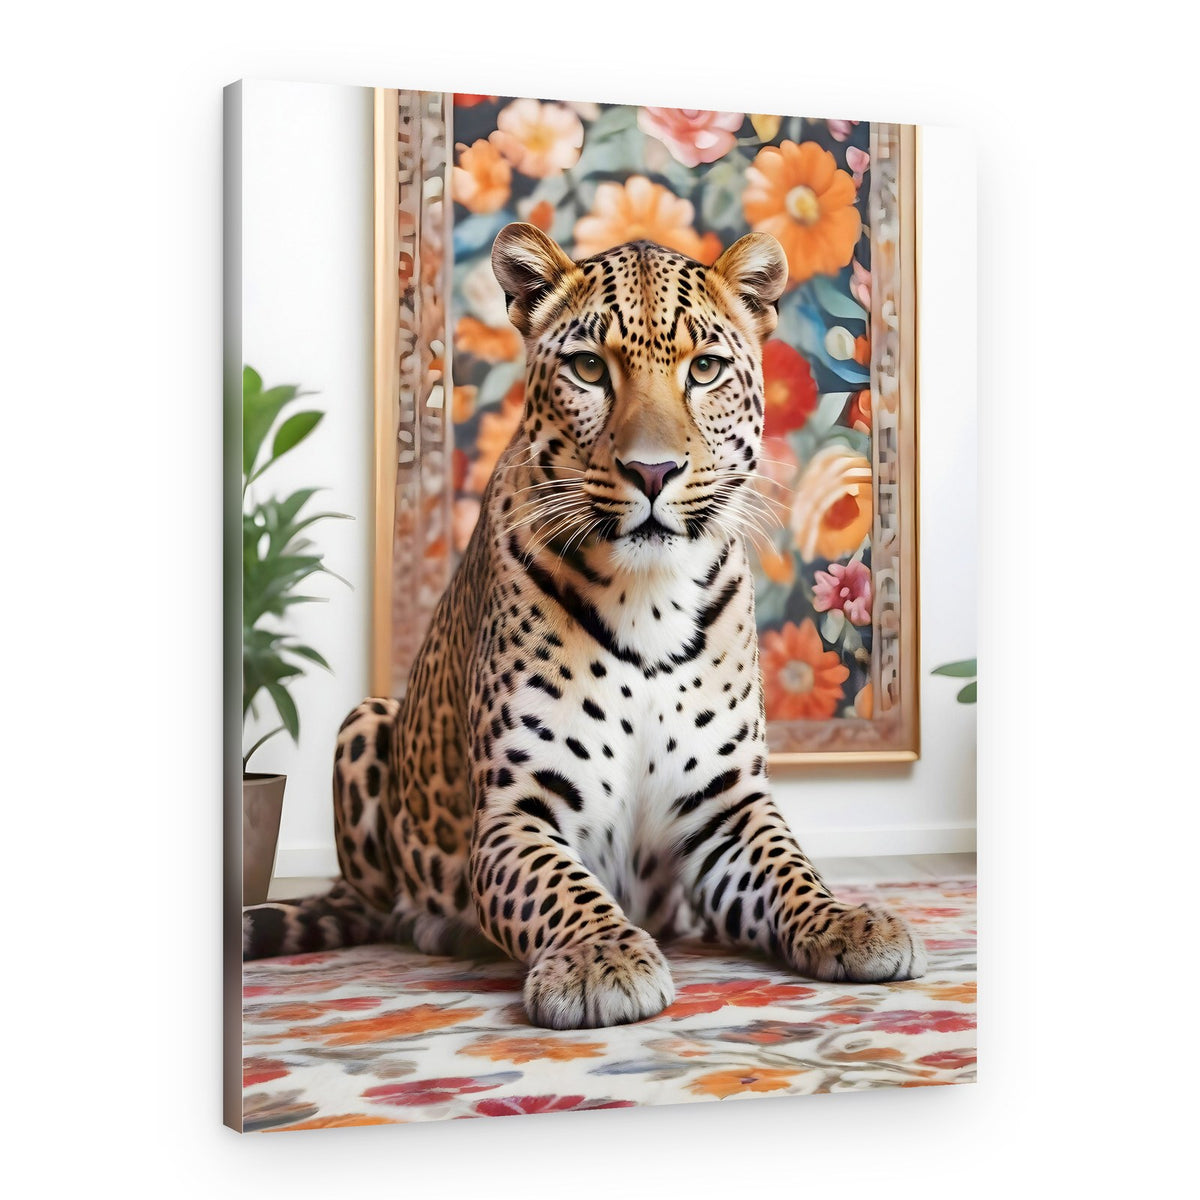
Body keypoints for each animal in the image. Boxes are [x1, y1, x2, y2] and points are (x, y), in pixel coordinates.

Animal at [243, 223, 926, 1029]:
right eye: (589, 367)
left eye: (705, 369)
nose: (653, 472)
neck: (651, 598)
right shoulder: (515, 810)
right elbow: (560, 888)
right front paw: (601, 959)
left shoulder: (726, 804)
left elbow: (792, 869)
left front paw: (847, 919)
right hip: (366, 720)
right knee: (377, 903)